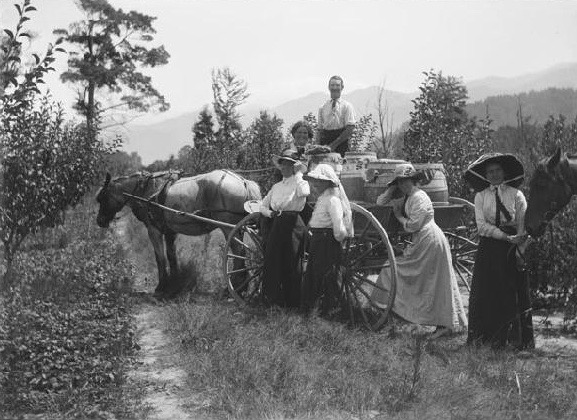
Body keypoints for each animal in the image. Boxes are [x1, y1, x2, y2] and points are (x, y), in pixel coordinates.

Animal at [97, 169, 260, 296]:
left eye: (102, 198)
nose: (99, 221)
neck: (145, 191)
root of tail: (243, 181)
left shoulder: (154, 230)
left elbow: (160, 258)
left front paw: (161, 286)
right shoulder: (170, 232)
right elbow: (171, 257)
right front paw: (174, 285)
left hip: (228, 228)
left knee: (239, 254)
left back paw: (234, 288)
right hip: (238, 228)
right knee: (241, 254)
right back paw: (241, 286)